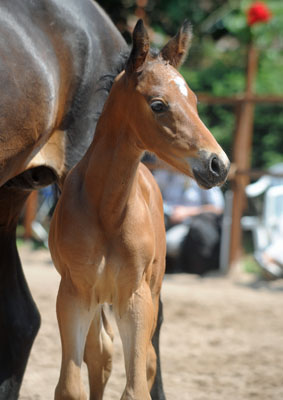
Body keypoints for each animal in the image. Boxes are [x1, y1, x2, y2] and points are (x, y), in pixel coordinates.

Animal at [49, 20, 231, 398]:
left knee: (146, 360)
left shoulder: (135, 297)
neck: (107, 210)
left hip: (152, 289)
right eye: (158, 104)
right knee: (100, 354)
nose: (218, 164)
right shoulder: (73, 293)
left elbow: (136, 385)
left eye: (194, 100)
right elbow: (72, 384)